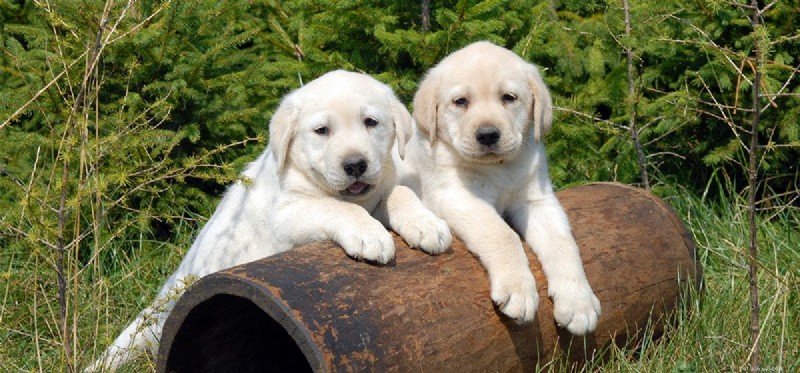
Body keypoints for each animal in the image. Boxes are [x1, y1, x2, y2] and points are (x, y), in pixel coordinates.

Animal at [404, 42, 604, 336]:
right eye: (460, 101)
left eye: (509, 98)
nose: (488, 135)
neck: (499, 168)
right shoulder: (457, 195)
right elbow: (503, 234)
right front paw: (518, 290)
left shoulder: (537, 200)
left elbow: (563, 243)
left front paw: (578, 300)